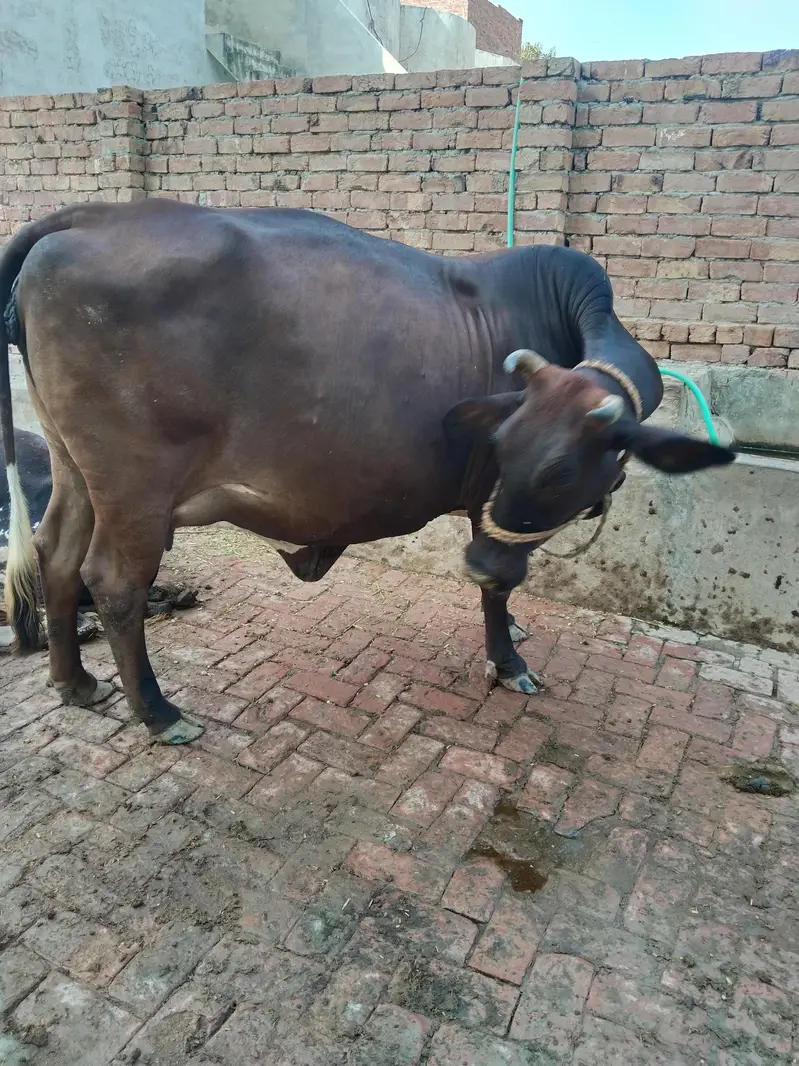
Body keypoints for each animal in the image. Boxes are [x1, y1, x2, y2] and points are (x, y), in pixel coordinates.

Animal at [1, 201, 734, 744]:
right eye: (512, 449)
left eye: (559, 469)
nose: (476, 565)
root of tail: (92, 217)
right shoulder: (487, 507)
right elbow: (500, 592)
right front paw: (508, 660)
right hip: (135, 486)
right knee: (114, 583)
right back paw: (158, 713)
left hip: (74, 466)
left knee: (55, 554)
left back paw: (75, 682)